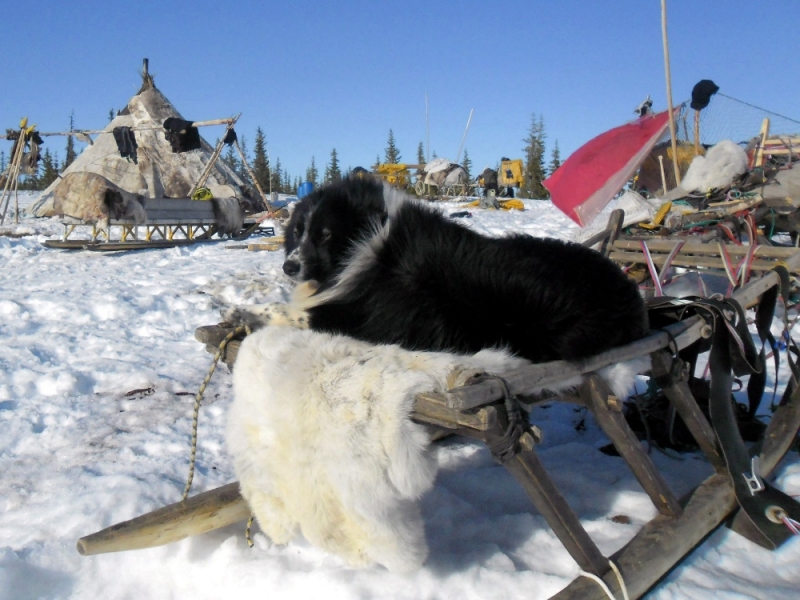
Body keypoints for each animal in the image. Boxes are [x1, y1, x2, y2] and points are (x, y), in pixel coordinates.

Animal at [222, 177, 648, 366]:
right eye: (297, 231)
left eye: (325, 235)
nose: (289, 265)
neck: (369, 240)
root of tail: (631, 300)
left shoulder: (356, 315)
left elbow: (288, 312)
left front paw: (241, 311)